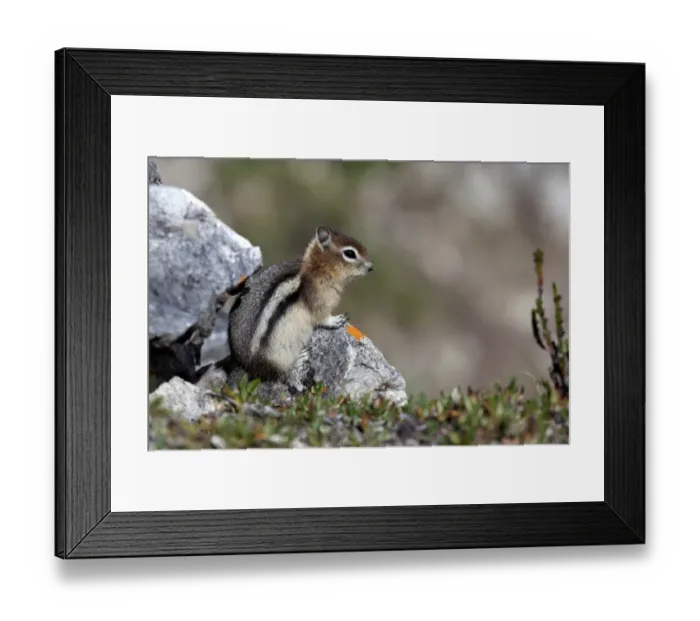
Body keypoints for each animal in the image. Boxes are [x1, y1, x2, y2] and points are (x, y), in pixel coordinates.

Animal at [225, 226, 374, 390]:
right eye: (350, 253)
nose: (371, 267)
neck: (318, 269)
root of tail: (244, 364)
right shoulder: (319, 302)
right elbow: (322, 318)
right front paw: (336, 320)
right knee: (279, 374)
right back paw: (298, 360)